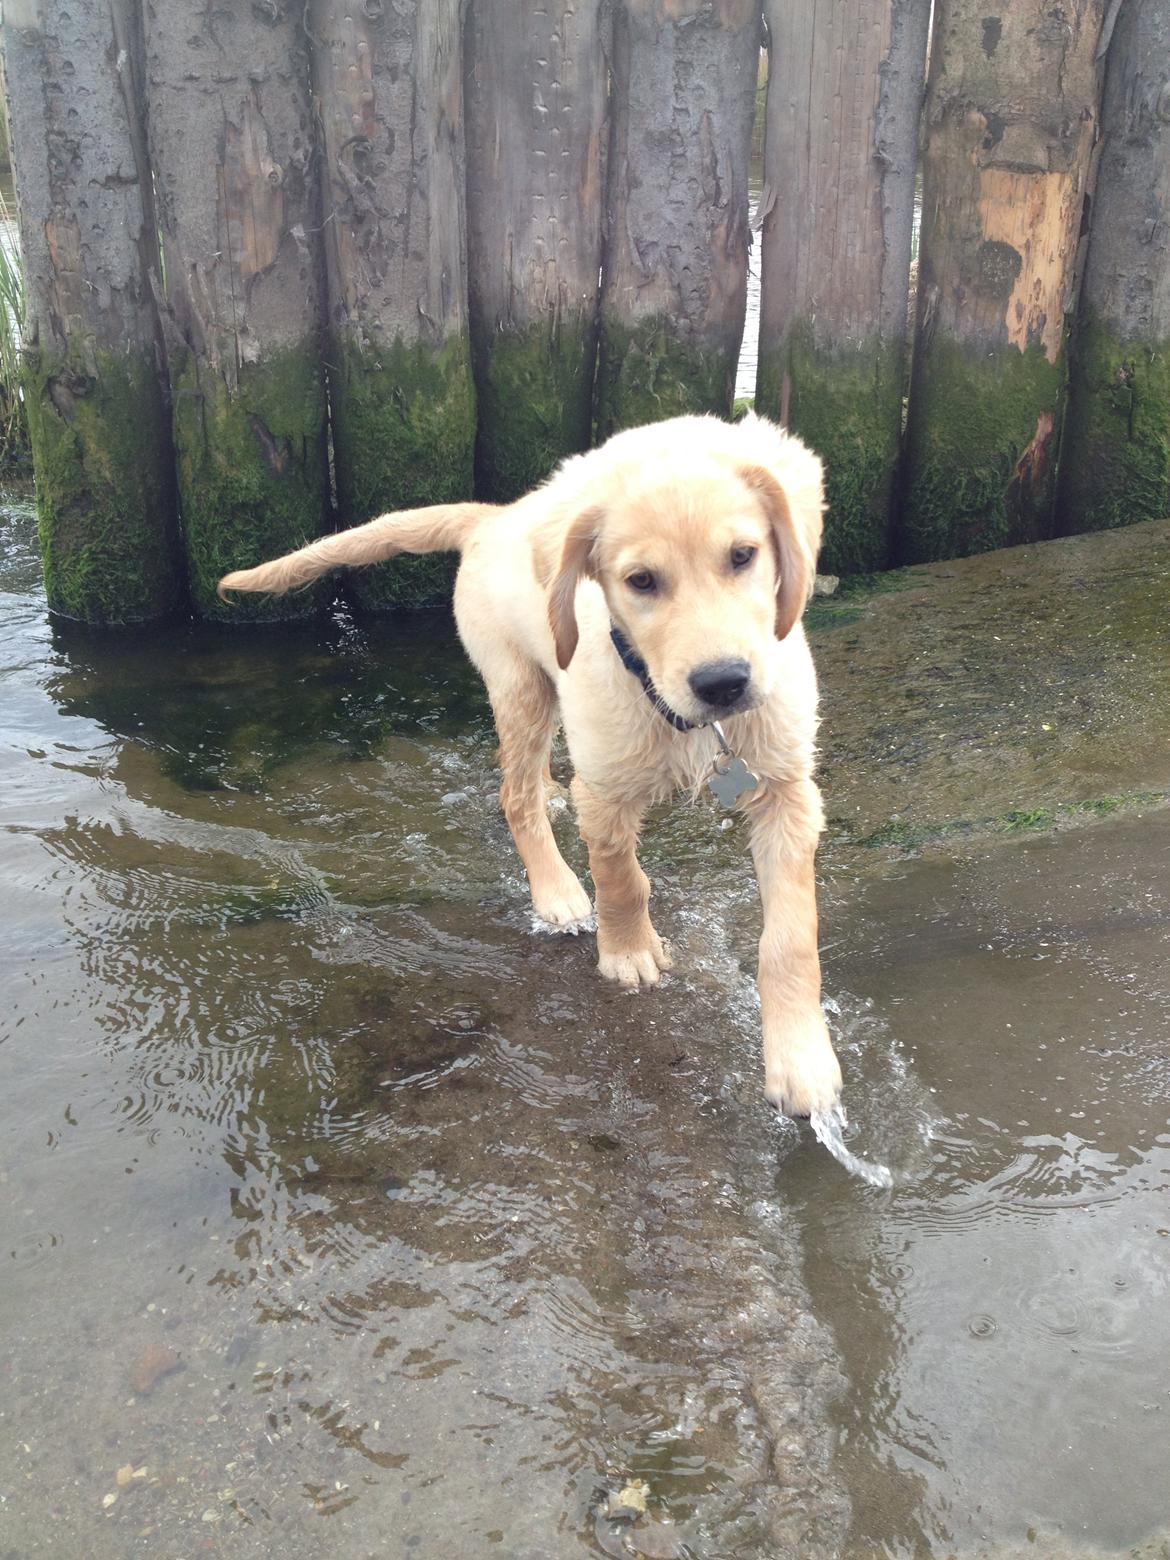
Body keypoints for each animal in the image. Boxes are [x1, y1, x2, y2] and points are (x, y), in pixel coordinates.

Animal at [219, 414, 842, 1116]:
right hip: (519, 686)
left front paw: (801, 1058)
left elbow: (791, 937)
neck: (677, 713)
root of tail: (495, 517)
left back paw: (549, 798)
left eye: (743, 556)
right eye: (641, 581)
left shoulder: (787, 791)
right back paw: (556, 889)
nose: (724, 683)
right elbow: (620, 879)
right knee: (512, 796)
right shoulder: (605, 790)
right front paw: (628, 952)